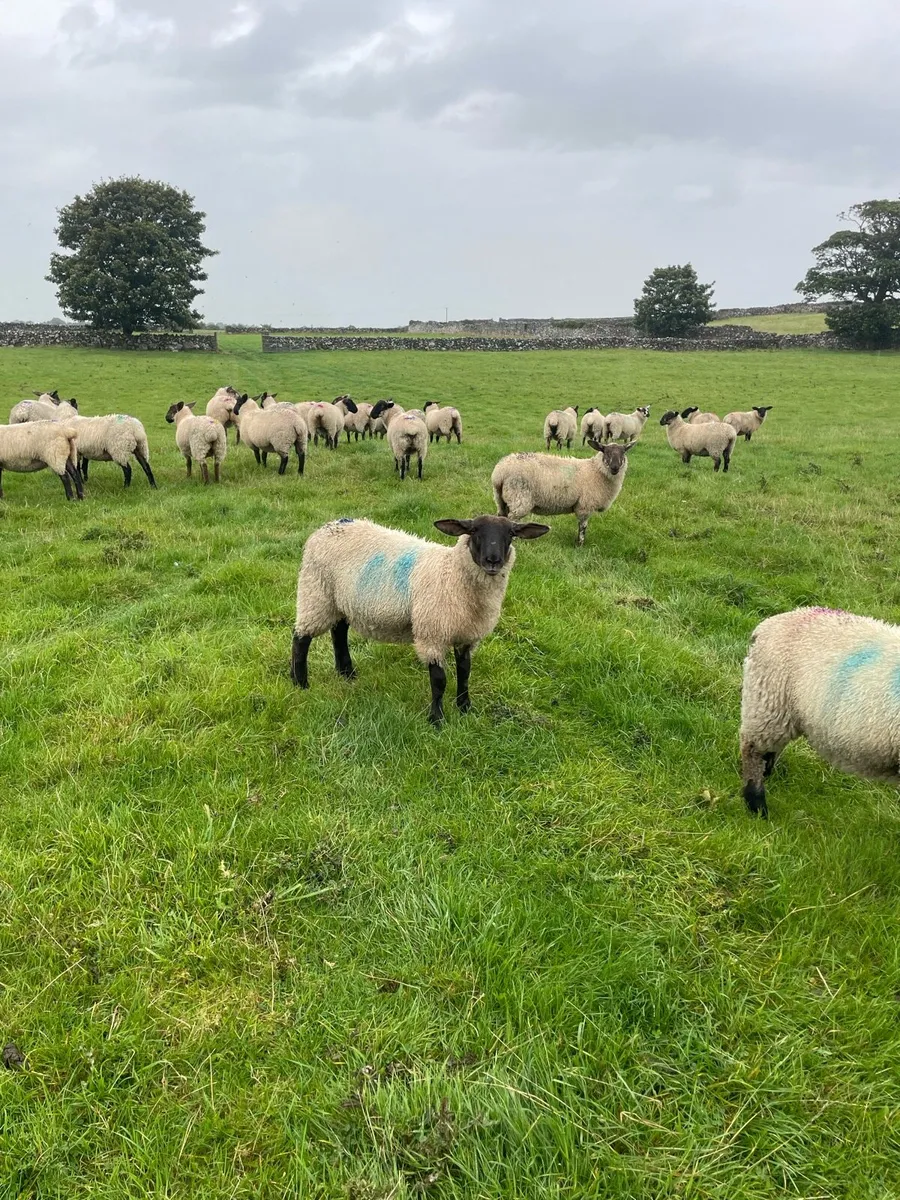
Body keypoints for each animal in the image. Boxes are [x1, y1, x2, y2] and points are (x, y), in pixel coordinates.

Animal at [291, 514, 549, 725]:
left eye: (511, 534)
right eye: (474, 530)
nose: (493, 560)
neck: (451, 573)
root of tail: (331, 525)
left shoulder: (467, 636)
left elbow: (465, 672)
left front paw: (465, 708)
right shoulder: (432, 633)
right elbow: (439, 680)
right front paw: (437, 719)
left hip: (342, 600)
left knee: (339, 631)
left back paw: (346, 673)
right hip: (316, 592)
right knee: (300, 637)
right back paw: (300, 682)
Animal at [492, 441, 632, 547]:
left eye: (623, 452)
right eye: (606, 452)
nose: (615, 467)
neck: (596, 471)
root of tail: (500, 471)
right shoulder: (585, 506)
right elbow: (583, 527)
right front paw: (579, 545)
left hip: (500, 499)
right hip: (519, 498)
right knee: (512, 520)